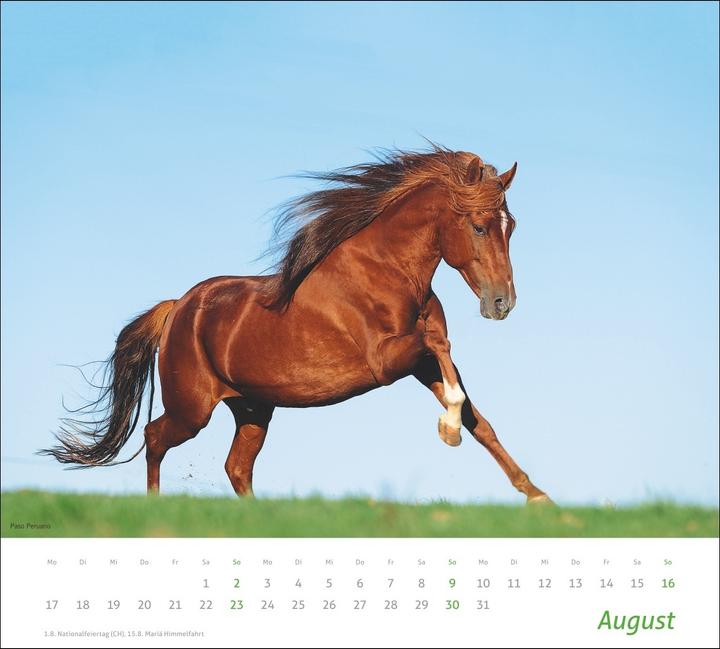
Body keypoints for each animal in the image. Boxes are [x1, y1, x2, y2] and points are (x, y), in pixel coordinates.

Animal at [43, 146, 552, 504]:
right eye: (479, 226)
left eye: (511, 226)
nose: (502, 303)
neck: (389, 271)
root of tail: (178, 308)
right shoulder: (388, 361)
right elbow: (440, 349)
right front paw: (447, 431)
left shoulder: (417, 364)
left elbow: (477, 417)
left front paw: (537, 495)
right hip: (193, 408)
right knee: (155, 437)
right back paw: (154, 505)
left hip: (252, 408)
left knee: (237, 467)